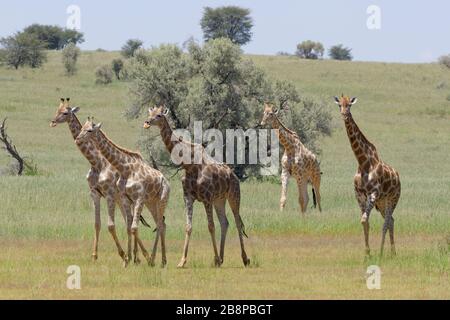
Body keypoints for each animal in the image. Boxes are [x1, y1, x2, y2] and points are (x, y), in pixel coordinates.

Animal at [50, 98, 135, 264]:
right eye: (57, 110)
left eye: (65, 113)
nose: (53, 122)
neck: (96, 162)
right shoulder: (94, 193)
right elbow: (97, 224)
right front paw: (94, 255)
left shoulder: (108, 194)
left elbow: (111, 226)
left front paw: (122, 254)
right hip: (120, 200)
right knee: (129, 221)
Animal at [76, 117, 170, 268]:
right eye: (82, 128)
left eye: (89, 130)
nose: (78, 138)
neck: (125, 169)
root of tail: (166, 180)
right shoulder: (125, 198)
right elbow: (128, 226)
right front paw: (128, 260)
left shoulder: (137, 198)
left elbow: (131, 227)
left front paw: (133, 257)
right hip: (151, 203)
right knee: (161, 224)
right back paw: (158, 260)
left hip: (162, 200)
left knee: (160, 225)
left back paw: (156, 260)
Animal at [144, 105, 250, 268]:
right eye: (150, 113)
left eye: (160, 115)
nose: (147, 122)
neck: (188, 164)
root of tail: (234, 177)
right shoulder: (188, 196)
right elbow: (188, 227)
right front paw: (182, 261)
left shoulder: (206, 198)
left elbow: (210, 226)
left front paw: (214, 259)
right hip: (219, 200)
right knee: (225, 222)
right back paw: (222, 258)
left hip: (234, 195)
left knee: (237, 223)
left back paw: (244, 258)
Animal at [334, 95, 400, 258]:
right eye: (339, 105)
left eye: (350, 105)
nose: (344, 115)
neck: (363, 162)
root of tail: (398, 177)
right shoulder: (359, 195)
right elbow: (365, 222)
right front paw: (367, 254)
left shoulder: (373, 193)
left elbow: (364, 220)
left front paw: (370, 254)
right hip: (382, 203)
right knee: (391, 221)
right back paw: (392, 253)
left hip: (392, 199)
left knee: (387, 222)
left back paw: (383, 253)